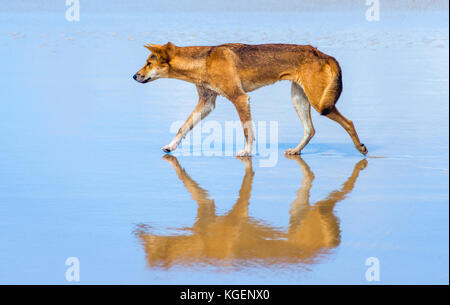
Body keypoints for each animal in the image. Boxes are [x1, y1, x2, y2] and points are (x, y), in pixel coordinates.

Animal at [132, 41, 368, 156]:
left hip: (319, 102)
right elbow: (184, 127)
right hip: (298, 99)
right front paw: (171, 146)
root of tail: (321, 53)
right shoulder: (206, 103)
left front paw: (246, 152)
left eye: (149, 63)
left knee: (348, 122)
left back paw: (360, 148)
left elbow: (247, 130)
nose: (134, 76)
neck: (203, 61)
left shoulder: (240, 98)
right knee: (310, 129)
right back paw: (296, 150)